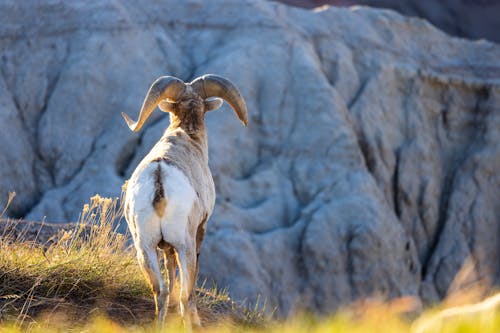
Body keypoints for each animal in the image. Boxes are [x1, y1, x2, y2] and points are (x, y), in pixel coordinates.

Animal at [121, 74, 246, 326]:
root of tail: (159, 179)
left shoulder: (164, 247)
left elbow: (169, 271)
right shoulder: (201, 228)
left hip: (144, 249)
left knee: (160, 292)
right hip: (184, 246)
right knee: (185, 296)